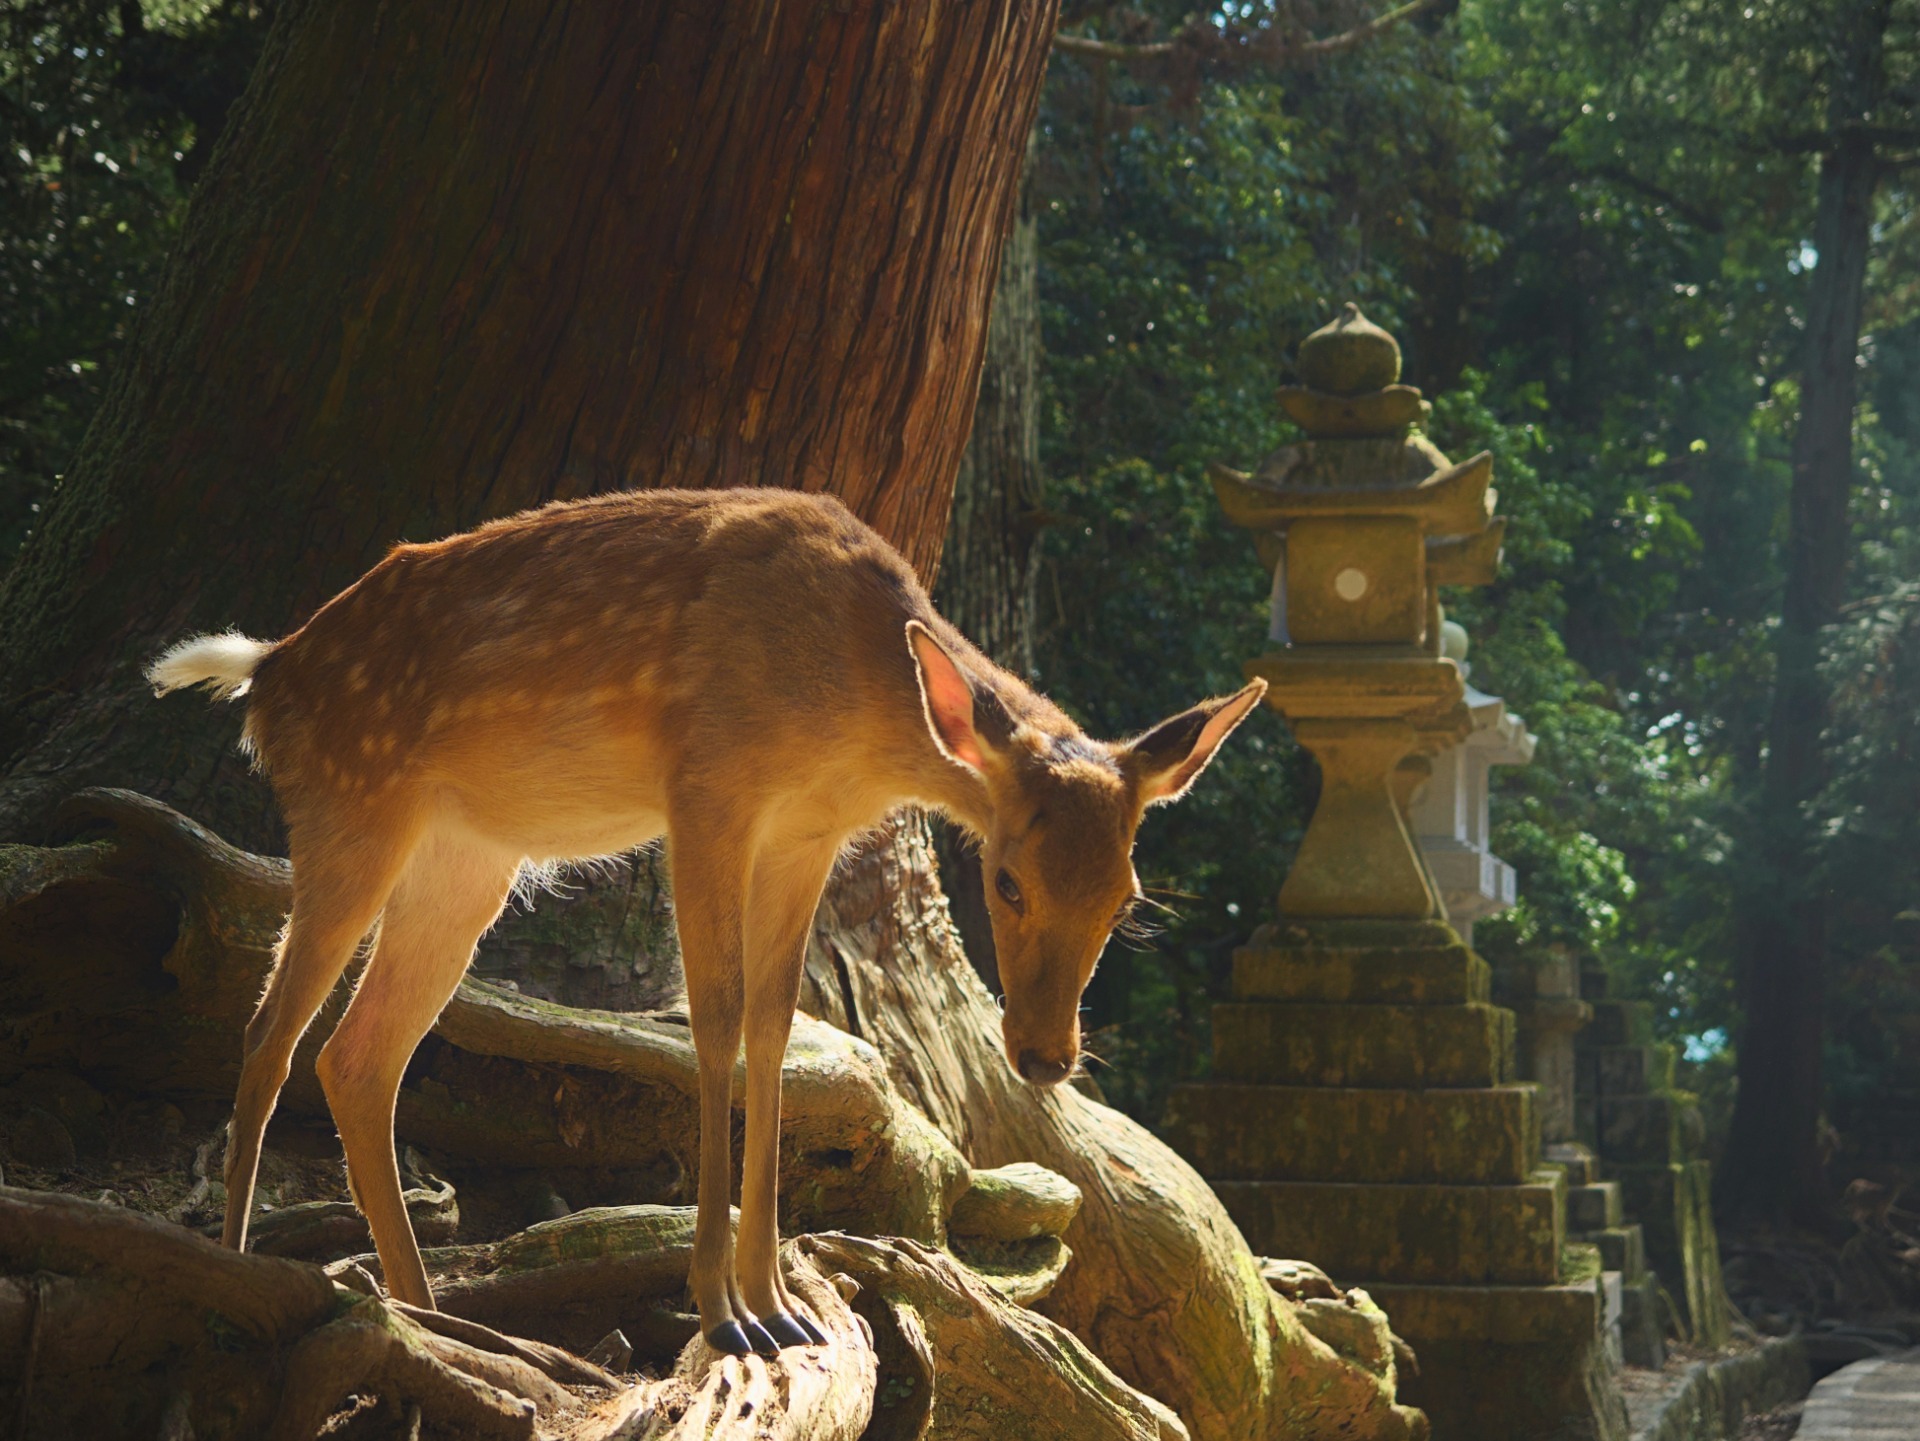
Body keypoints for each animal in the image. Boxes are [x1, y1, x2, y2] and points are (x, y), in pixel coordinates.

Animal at [148, 486, 1266, 1357]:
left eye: (1128, 898)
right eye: (1007, 879)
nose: (1043, 1055)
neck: (851, 707)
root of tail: (265, 674)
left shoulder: (807, 833)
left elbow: (777, 1030)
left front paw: (779, 1303)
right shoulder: (708, 786)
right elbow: (717, 1018)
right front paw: (727, 1314)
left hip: (465, 859)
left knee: (359, 1053)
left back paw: (434, 1315)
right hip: (350, 806)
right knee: (270, 1031)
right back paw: (240, 1276)